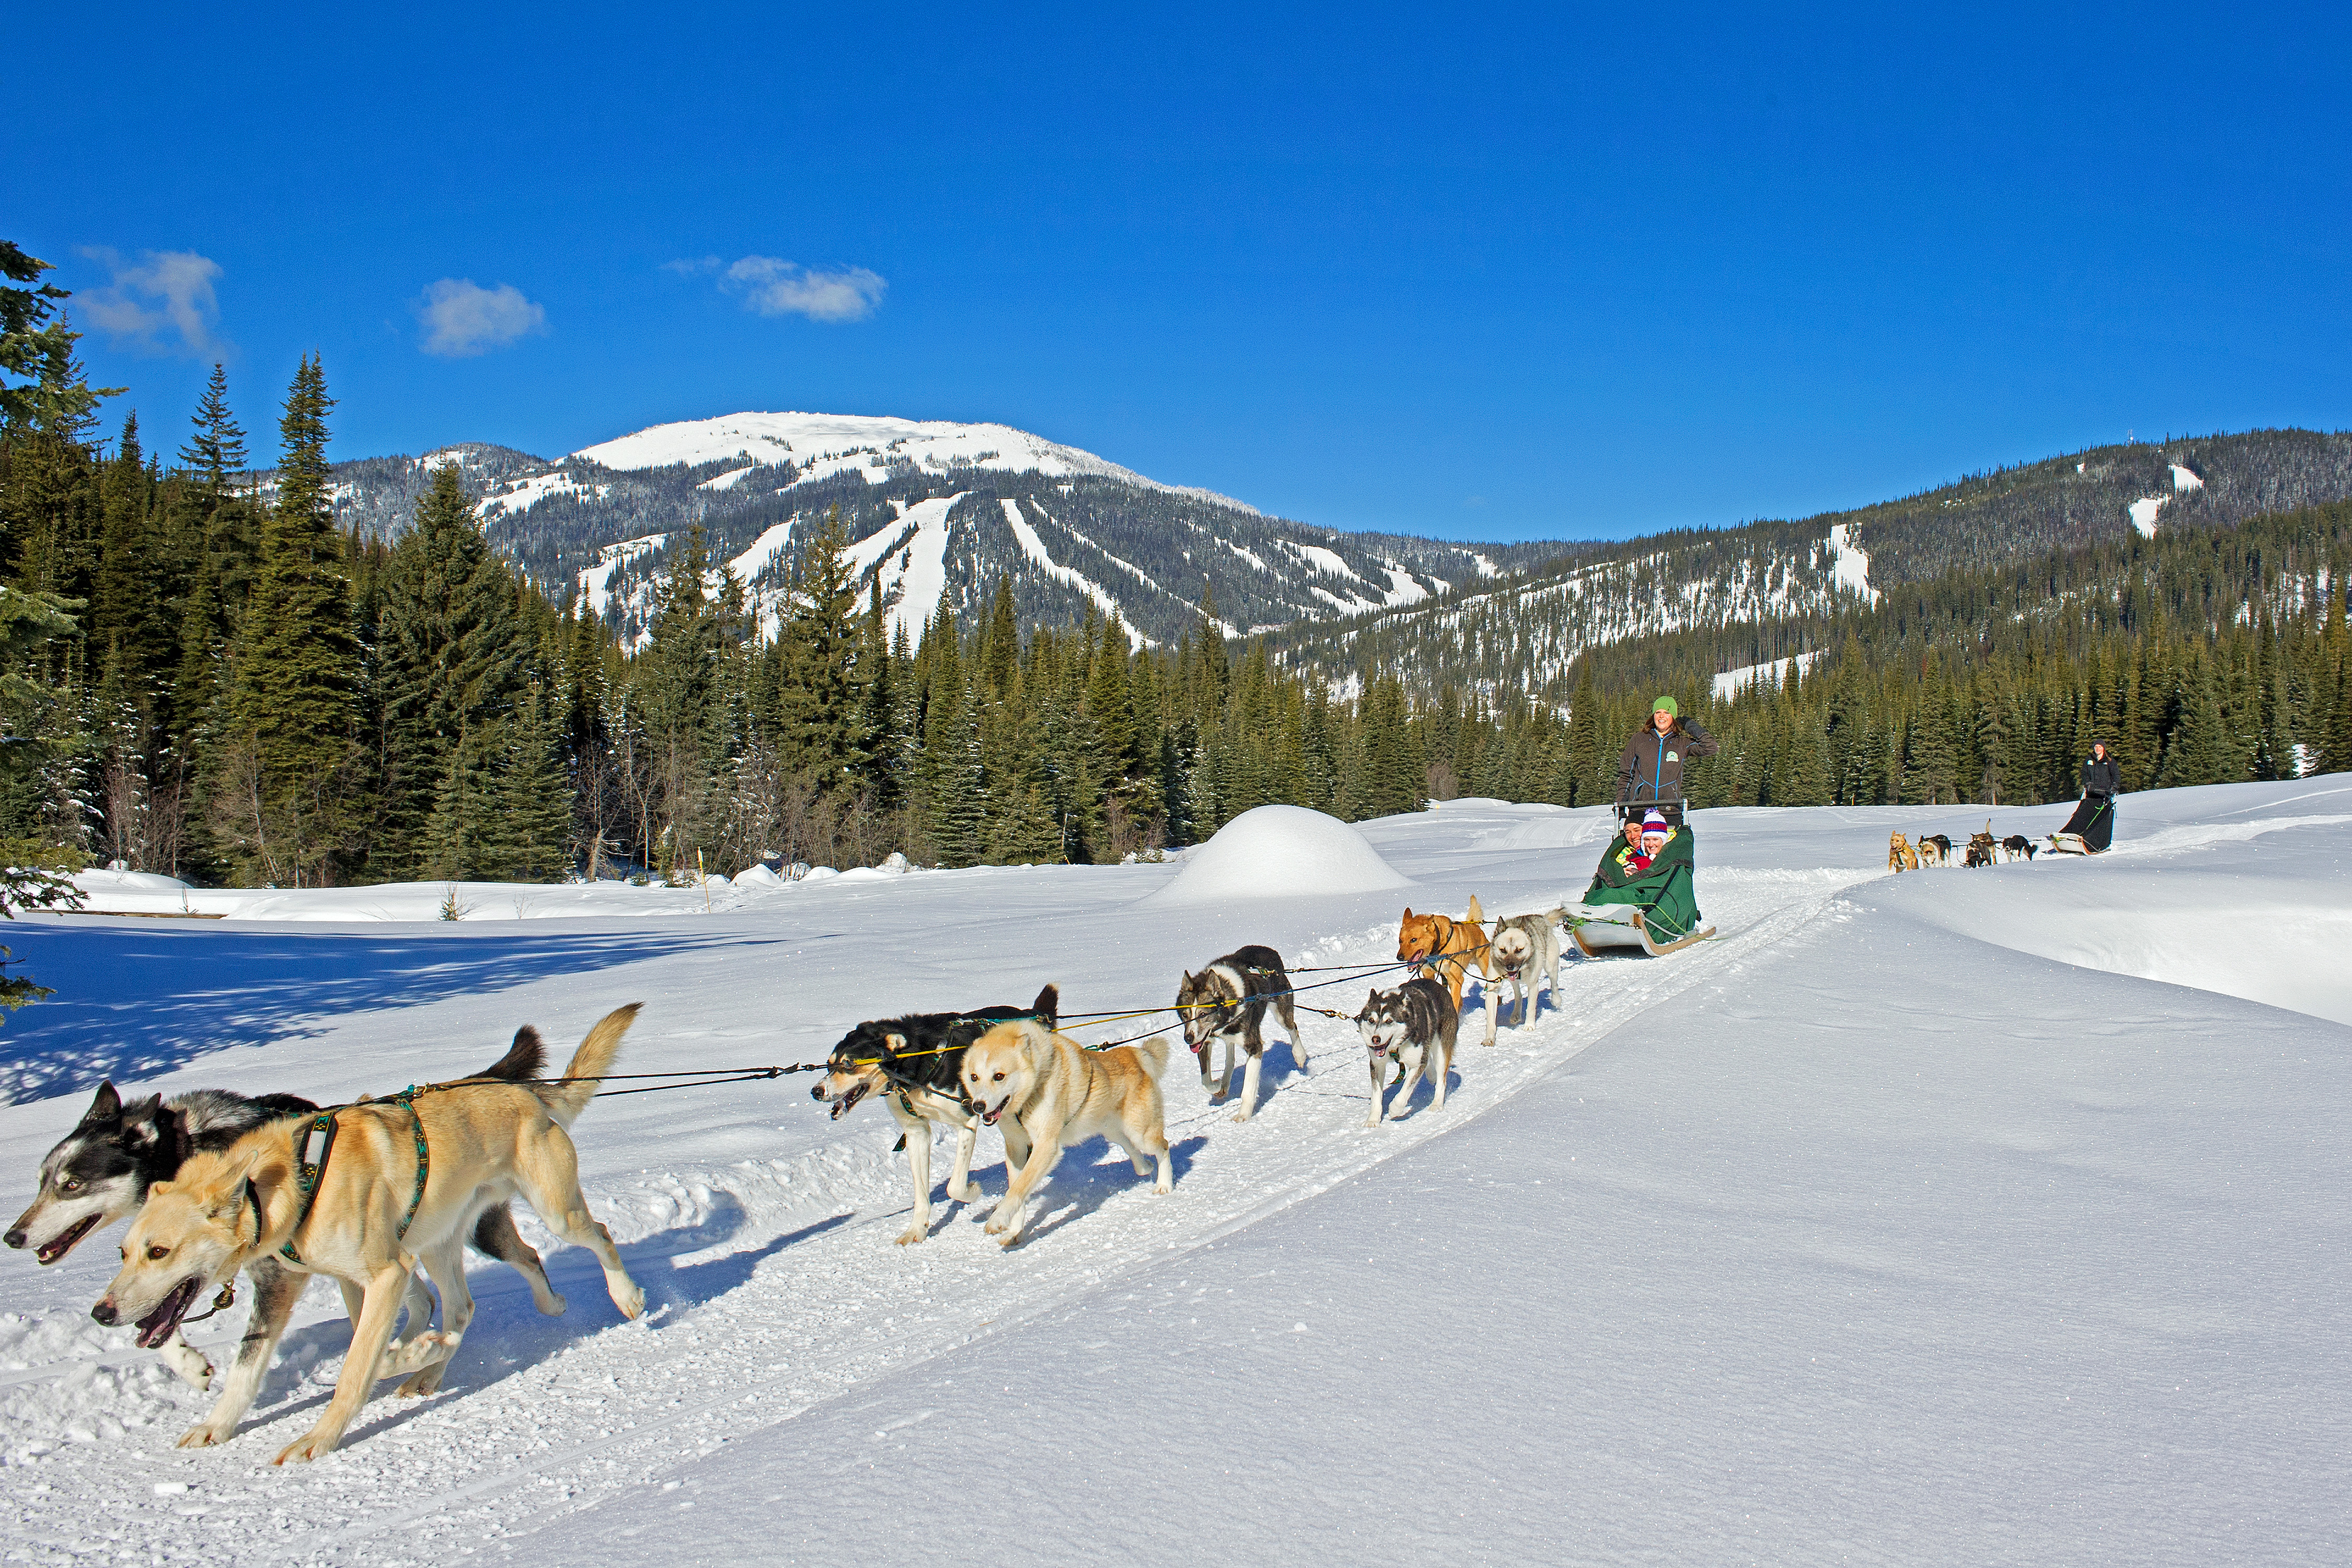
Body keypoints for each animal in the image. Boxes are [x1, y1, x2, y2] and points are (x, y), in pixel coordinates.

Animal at [97, 1011, 649, 1467]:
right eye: (123, 1252)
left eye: (159, 1251)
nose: (101, 1313)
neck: (294, 1179)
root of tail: (518, 1090)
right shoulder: (343, 1281)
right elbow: (300, 1361)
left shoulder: (387, 1274)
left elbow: (357, 1366)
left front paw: (317, 1439)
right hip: (437, 1243)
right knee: (463, 1307)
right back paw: (432, 1369)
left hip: (556, 1213)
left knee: (599, 1236)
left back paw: (622, 1297)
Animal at [1364, 983, 1449, 1128]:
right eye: (1371, 1020)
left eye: (1389, 1021)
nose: (1375, 1039)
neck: (1395, 1048)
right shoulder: (1377, 1065)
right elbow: (1376, 1094)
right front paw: (1373, 1120)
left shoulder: (1417, 1064)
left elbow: (1405, 1090)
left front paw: (1394, 1109)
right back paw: (1431, 1075)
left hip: (1441, 1051)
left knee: (1441, 1080)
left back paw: (1437, 1104)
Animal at [1392, 903, 1486, 1011]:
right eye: (1400, 940)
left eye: (1414, 940)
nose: (1399, 957)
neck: (1437, 950)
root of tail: (1474, 924)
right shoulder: (1429, 975)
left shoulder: (1456, 981)